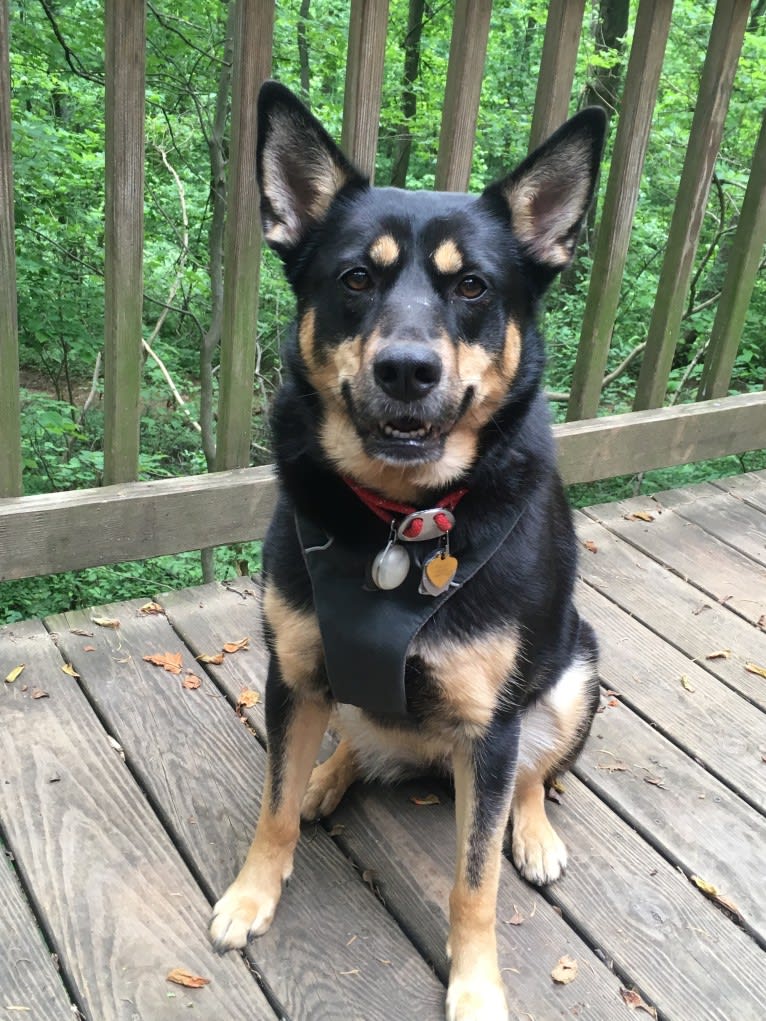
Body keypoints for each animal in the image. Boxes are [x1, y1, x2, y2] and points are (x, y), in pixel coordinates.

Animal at [213, 81, 608, 1021]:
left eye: (472, 287)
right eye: (357, 278)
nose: (405, 369)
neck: (399, 517)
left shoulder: (492, 727)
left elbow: (474, 880)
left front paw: (476, 984)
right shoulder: (293, 671)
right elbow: (271, 805)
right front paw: (253, 892)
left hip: (575, 669)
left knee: (535, 772)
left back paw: (534, 833)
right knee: (353, 740)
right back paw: (328, 776)